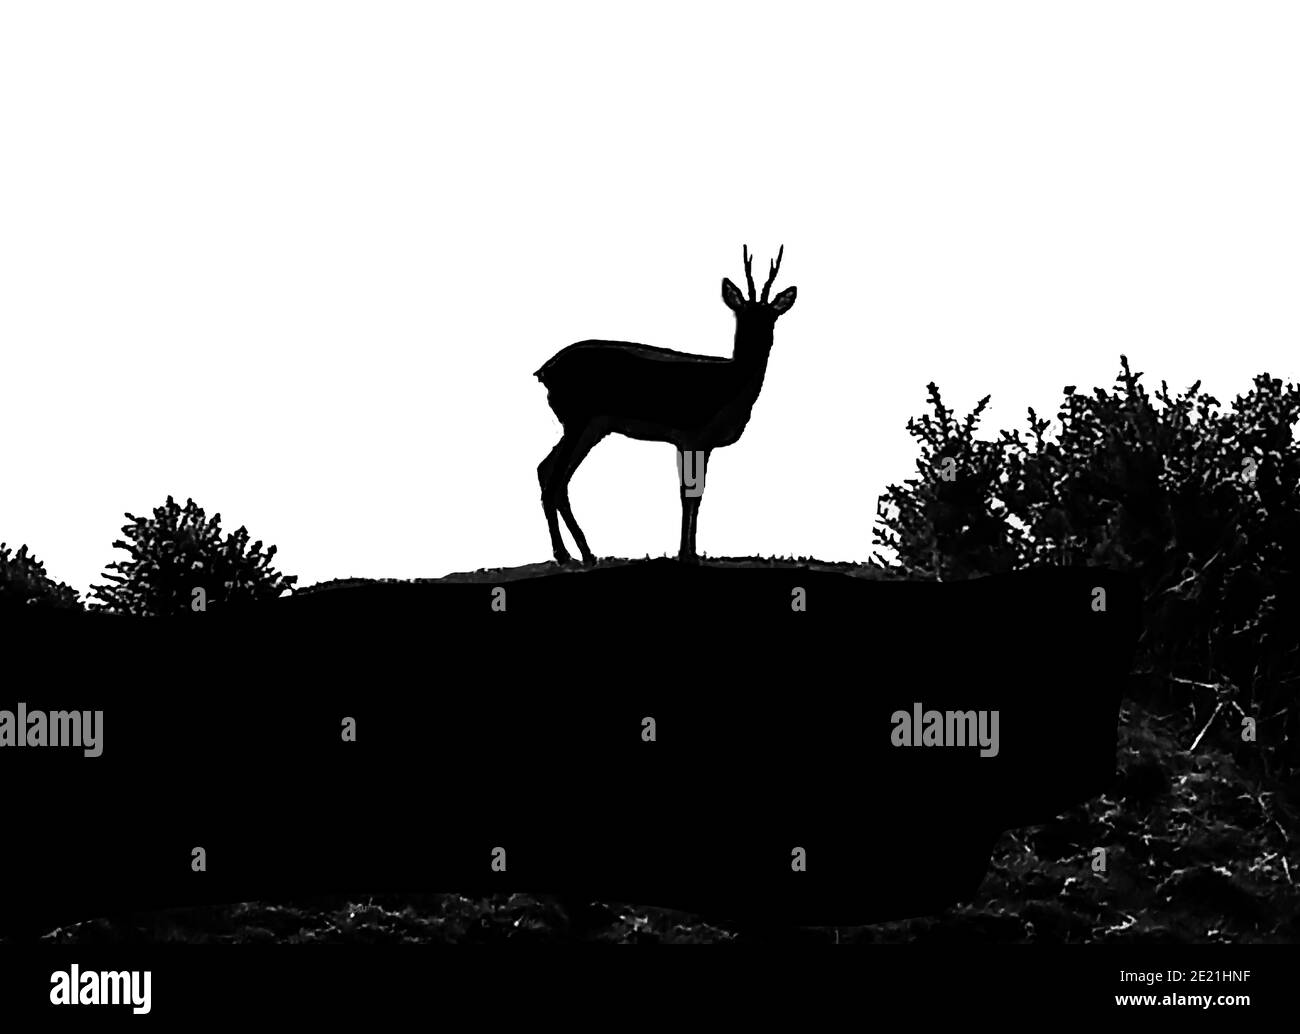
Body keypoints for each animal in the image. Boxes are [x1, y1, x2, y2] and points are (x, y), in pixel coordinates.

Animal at [534, 246, 797, 564]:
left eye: (771, 316)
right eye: (742, 315)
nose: (759, 339)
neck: (728, 386)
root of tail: (545, 371)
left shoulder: (702, 442)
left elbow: (697, 494)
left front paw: (691, 552)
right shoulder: (690, 435)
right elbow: (688, 493)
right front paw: (686, 554)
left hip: (590, 427)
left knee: (548, 471)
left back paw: (586, 553)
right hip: (578, 419)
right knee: (554, 478)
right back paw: (565, 555)